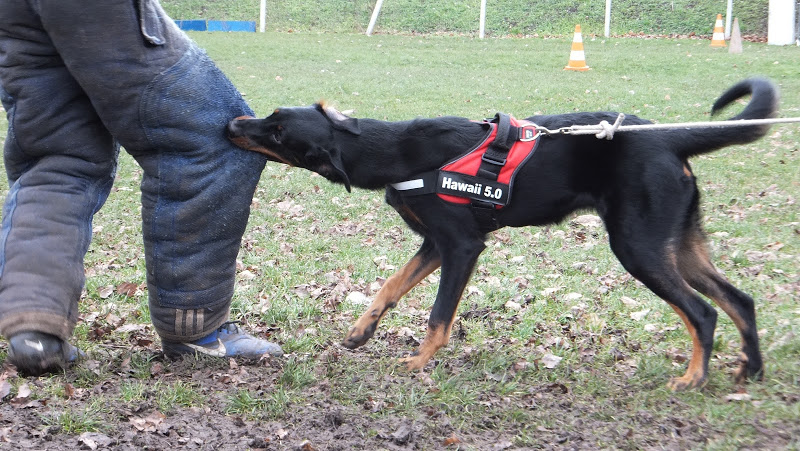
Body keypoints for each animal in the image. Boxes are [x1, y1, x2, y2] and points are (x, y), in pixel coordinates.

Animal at [228, 79, 780, 390]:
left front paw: (418, 363)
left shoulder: (462, 247)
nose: (232, 123)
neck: (395, 149)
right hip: (678, 244)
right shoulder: (434, 245)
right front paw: (362, 332)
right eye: (272, 116)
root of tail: (668, 137)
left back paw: (694, 378)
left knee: (703, 312)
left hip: (638, 247)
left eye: (277, 132)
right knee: (741, 300)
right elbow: (389, 287)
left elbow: (438, 316)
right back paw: (748, 372)